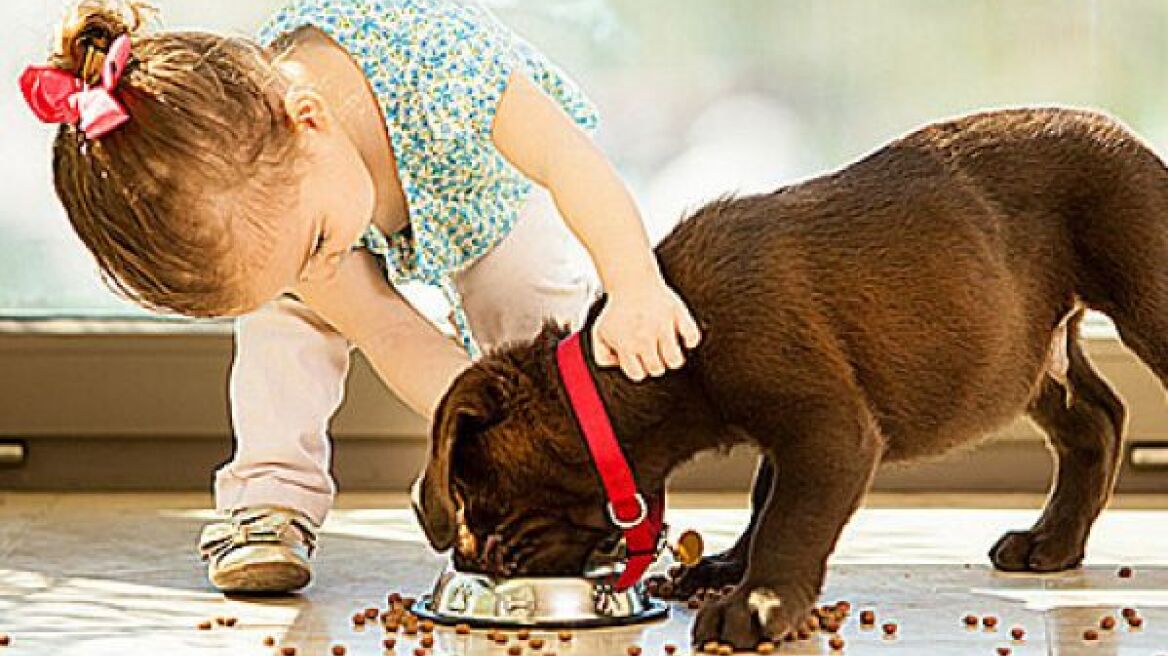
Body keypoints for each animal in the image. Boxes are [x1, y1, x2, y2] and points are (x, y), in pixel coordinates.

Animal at [415, 107, 1163, 644]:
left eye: (473, 498)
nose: (470, 560)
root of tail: (1128, 137)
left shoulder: (828, 429)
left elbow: (790, 519)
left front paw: (757, 604)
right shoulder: (794, 430)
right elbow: (763, 498)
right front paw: (727, 567)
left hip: (1143, 302)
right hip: (1026, 354)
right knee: (1096, 420)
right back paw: (1054, 543)